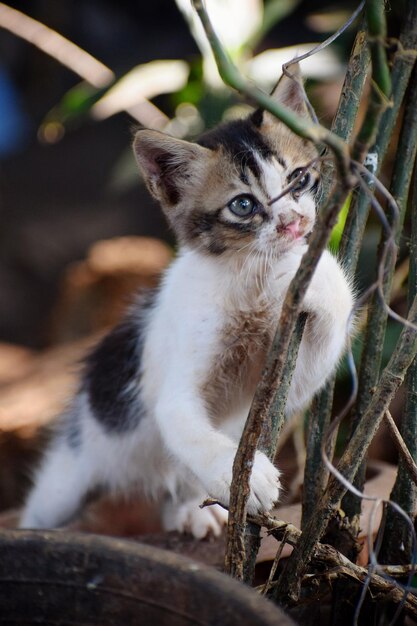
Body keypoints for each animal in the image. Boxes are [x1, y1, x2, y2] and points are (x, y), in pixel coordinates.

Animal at [18, 68, 352, 536]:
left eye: (299, 179)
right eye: (243, 205)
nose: (294, 222)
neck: (246, 277)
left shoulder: (293, 369)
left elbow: (319, 355)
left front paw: (310, 272)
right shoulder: (177, 379)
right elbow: (186, 425)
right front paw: (243, 478)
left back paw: (192, 508)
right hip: (71, 472)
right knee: (46, 506)